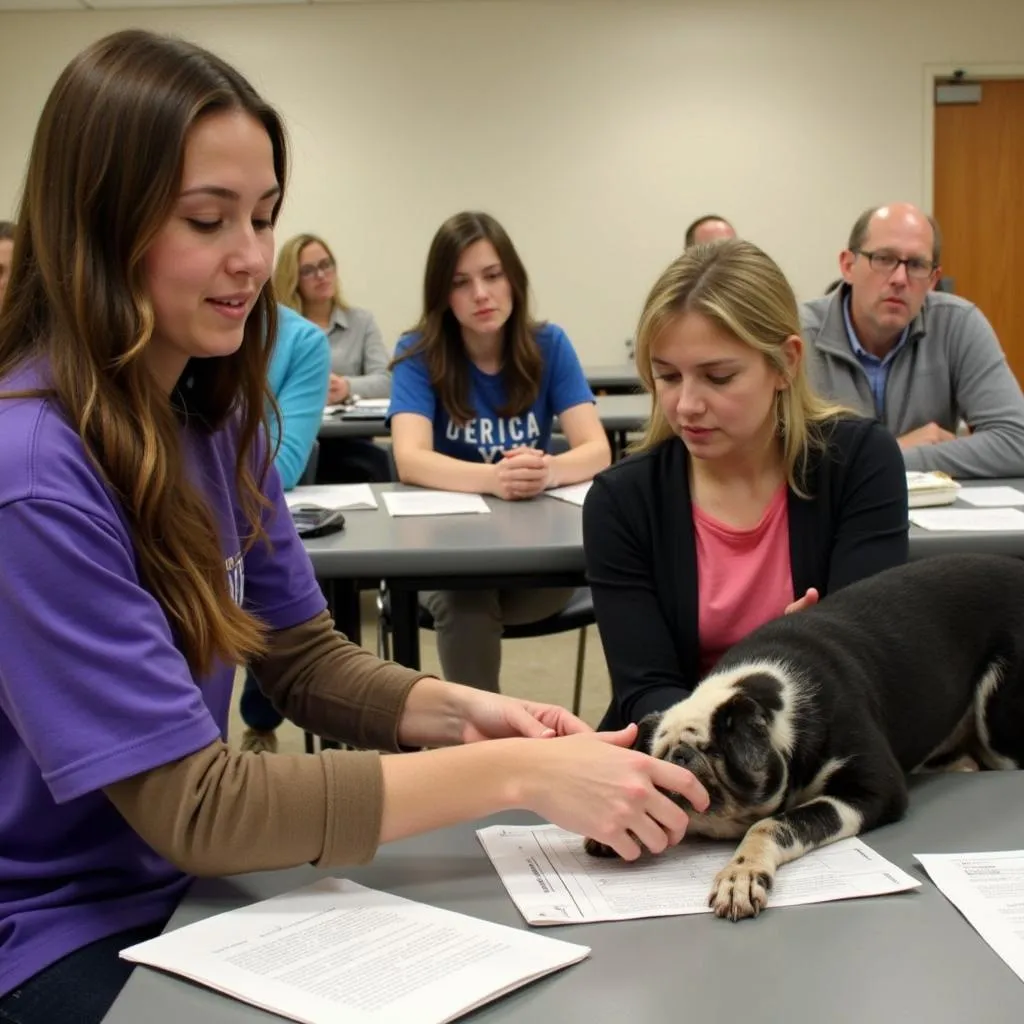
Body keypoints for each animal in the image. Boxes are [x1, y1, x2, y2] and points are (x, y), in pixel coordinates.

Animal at [585, 557, 1024, 925]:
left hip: (1000, 720)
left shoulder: (872, 791)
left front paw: (740, 880)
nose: (679, 756)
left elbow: (773, 824)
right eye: (656, 755)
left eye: (713, 751)